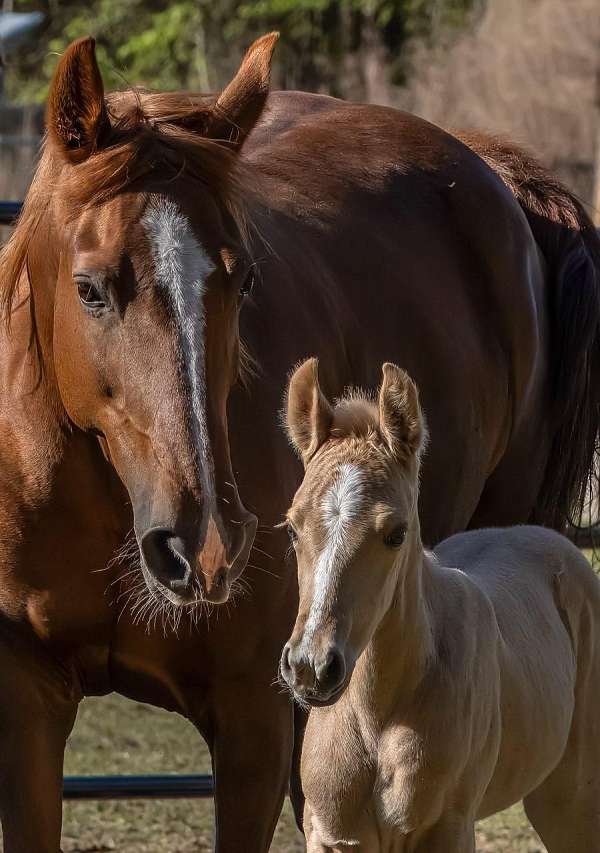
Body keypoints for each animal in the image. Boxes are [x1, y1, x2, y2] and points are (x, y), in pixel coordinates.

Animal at [282, 358, 600, 852]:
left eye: (396, 533)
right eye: (293, 528)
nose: (311, 668)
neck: (376, 717)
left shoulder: (447, 828)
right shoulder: (332, 834)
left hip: (572, 800)